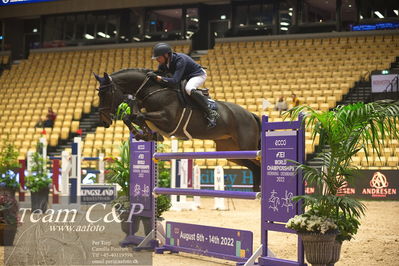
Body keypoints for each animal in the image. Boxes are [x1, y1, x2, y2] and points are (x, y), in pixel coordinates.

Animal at [93, 68, 262, 191]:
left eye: (105, 93)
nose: (104, 121)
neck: (151, 90)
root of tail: (251, 115)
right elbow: (132, 117)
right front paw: (145, 135)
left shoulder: (167, 119)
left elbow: (137, 116)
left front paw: (143, 134)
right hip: (232, 152)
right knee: (253, 167)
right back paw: (256, 192)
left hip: (247, 148)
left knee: (258, 163)